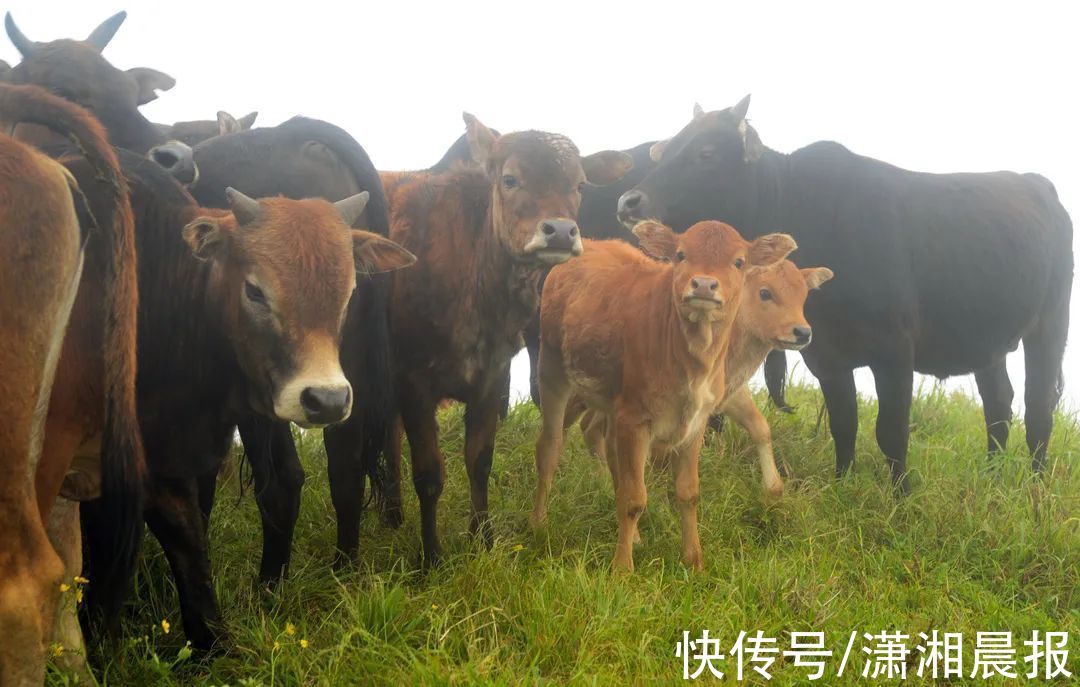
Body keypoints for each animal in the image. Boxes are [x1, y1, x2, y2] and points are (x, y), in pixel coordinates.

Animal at [362, 113, 630, 561]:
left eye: (578, 185)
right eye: (509, 179)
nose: (561, 231)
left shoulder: (492, 377)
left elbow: (480, 461)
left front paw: (483, 540)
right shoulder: (413, 381)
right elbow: (430, 473)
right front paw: (432, 555)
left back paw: (393, 513)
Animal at [531, 218, 794, 570]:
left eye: (739, 262)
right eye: (681, 255)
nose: (704, 284)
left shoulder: (695, 424)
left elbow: (688, 493)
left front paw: (694, 561)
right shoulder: (635, 420)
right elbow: (633, 498)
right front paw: (622, 569)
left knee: (608, 452)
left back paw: (636, 537)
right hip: (553, 369)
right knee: (550, 447)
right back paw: (538, 522)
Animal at [578, 257, 829, 505]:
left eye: (803, 296)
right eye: (765, 292)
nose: (803, 332)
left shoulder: (730, 393)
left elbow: (760, 428)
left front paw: (774, 488)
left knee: (589, 426)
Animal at [622, 96, 1075, 490]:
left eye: (706, 153)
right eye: (667, 149)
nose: (629, 201)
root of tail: (1040, 187)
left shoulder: (895, 351)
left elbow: (891, 430)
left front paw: (901, 496)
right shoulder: (826, 355)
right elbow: (844, 423)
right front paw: (843, 485)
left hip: (1050, 327)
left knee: (1037, 410)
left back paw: (1033, 487)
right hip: (987, 342)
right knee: (999, 403)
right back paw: (993, 478)